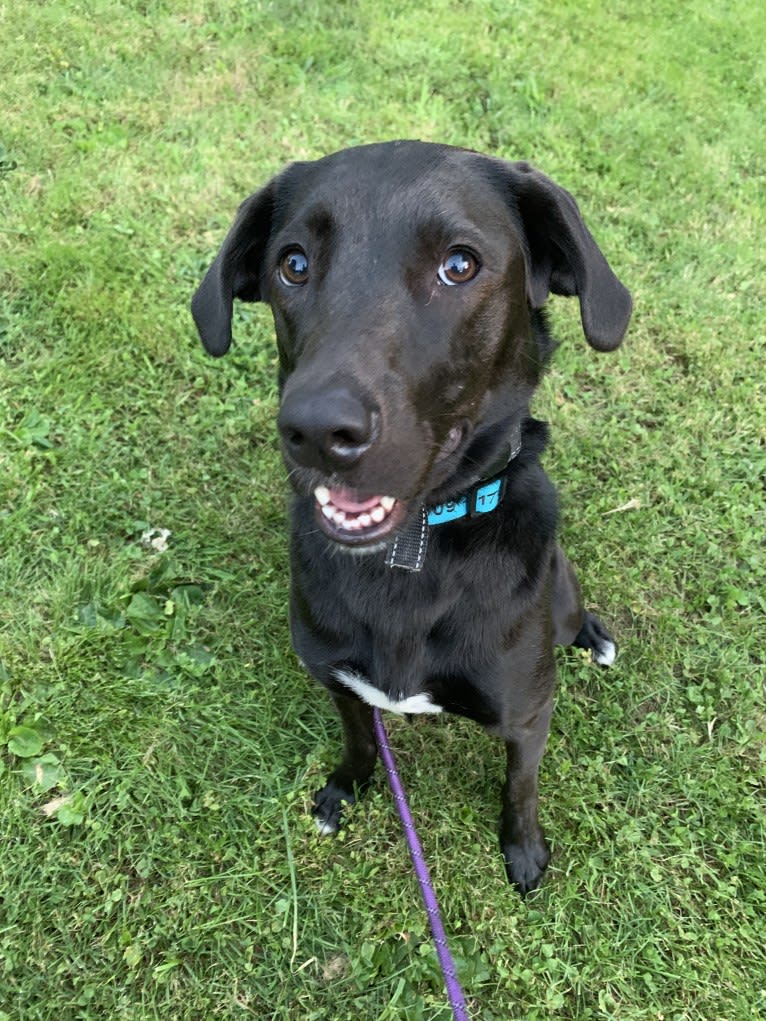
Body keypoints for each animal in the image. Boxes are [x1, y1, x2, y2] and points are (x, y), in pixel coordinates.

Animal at [190, 139, 629, 890]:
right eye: (293, 263)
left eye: (460, 265)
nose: (316, 430)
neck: (410, 556)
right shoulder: (341, 682)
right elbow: (360, 739)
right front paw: (346, 788)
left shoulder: (527, 715)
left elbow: (521, 787)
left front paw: (524, 850)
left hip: (563, 595)